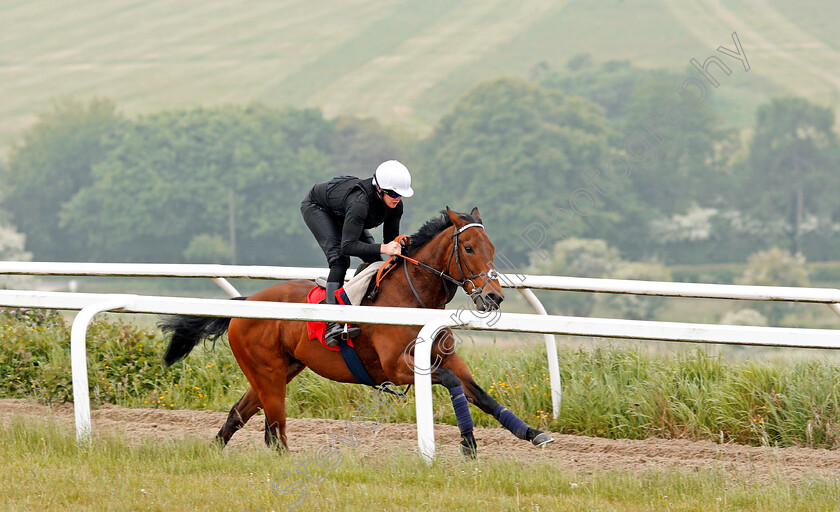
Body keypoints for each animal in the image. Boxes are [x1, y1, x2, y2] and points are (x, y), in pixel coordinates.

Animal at [161, 206, 556, 458]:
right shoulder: (398, 368)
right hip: (268, 371)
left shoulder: (446, 357)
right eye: (469, 248)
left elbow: (481, 394)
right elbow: (452, 383)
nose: (494, 297)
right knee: (275, 427)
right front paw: (468, 444)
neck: (411, 297)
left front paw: (533, 434)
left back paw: (214, 452)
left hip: (279, 370)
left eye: (492, 248)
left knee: (240, 415)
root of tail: (245, 304)